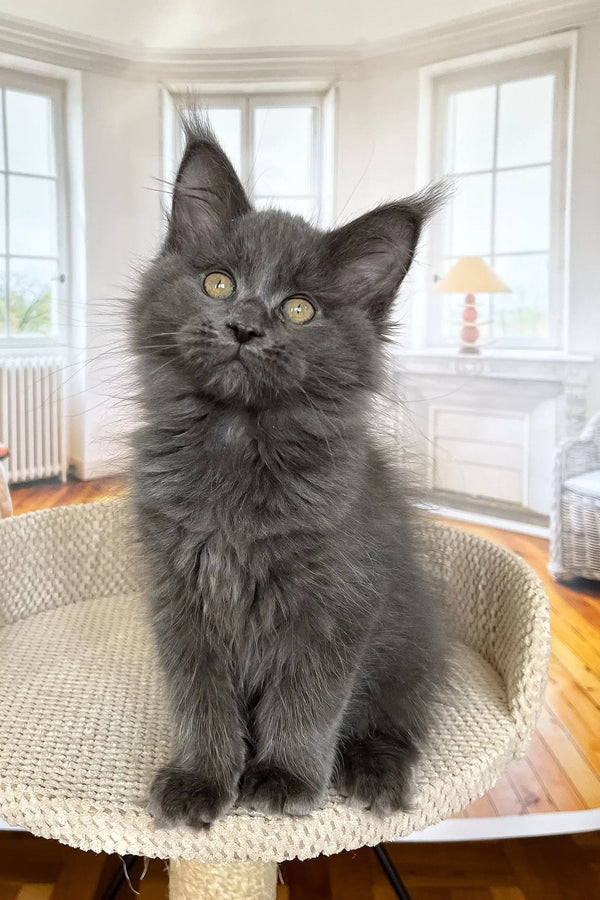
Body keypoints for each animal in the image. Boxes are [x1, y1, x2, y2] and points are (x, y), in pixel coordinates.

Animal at [134, 119, 448, 828]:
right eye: (218, 284)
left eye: (300, 309)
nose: (244, 327)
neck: (237, 444)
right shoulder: (180, 596)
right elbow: (201, 699)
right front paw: (202, 777)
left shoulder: (340, 600)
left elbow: (309, 699)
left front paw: (284, 776)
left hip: (409, 646)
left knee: (395, 722)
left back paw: (373, 773)